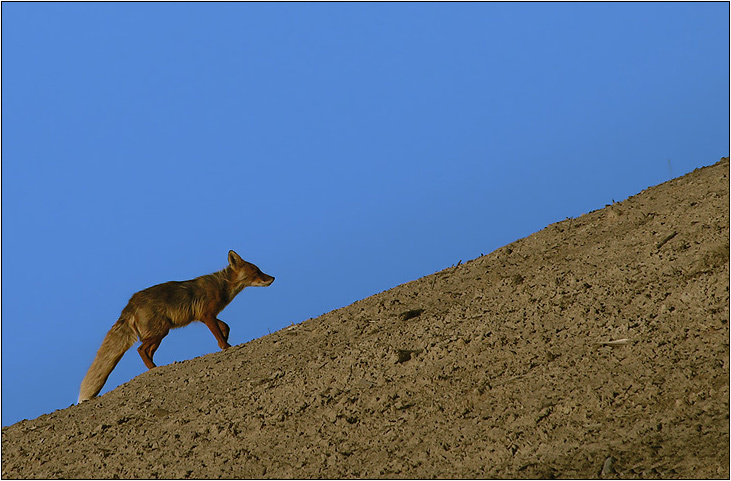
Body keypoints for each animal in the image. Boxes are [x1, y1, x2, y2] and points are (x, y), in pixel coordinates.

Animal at [78, 250, 274, 402]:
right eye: (256, 271)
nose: (272, 278)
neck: (222, 285)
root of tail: (130, 304)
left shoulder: (206, 316)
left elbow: (225, 327)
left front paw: (224, 342)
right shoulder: (207, 315)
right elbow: (219, 332)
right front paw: (225, 346)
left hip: (159, 335)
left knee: (146, 351)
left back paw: (155, 366)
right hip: (160, 331)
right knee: (140, 349)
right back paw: (155, 369)